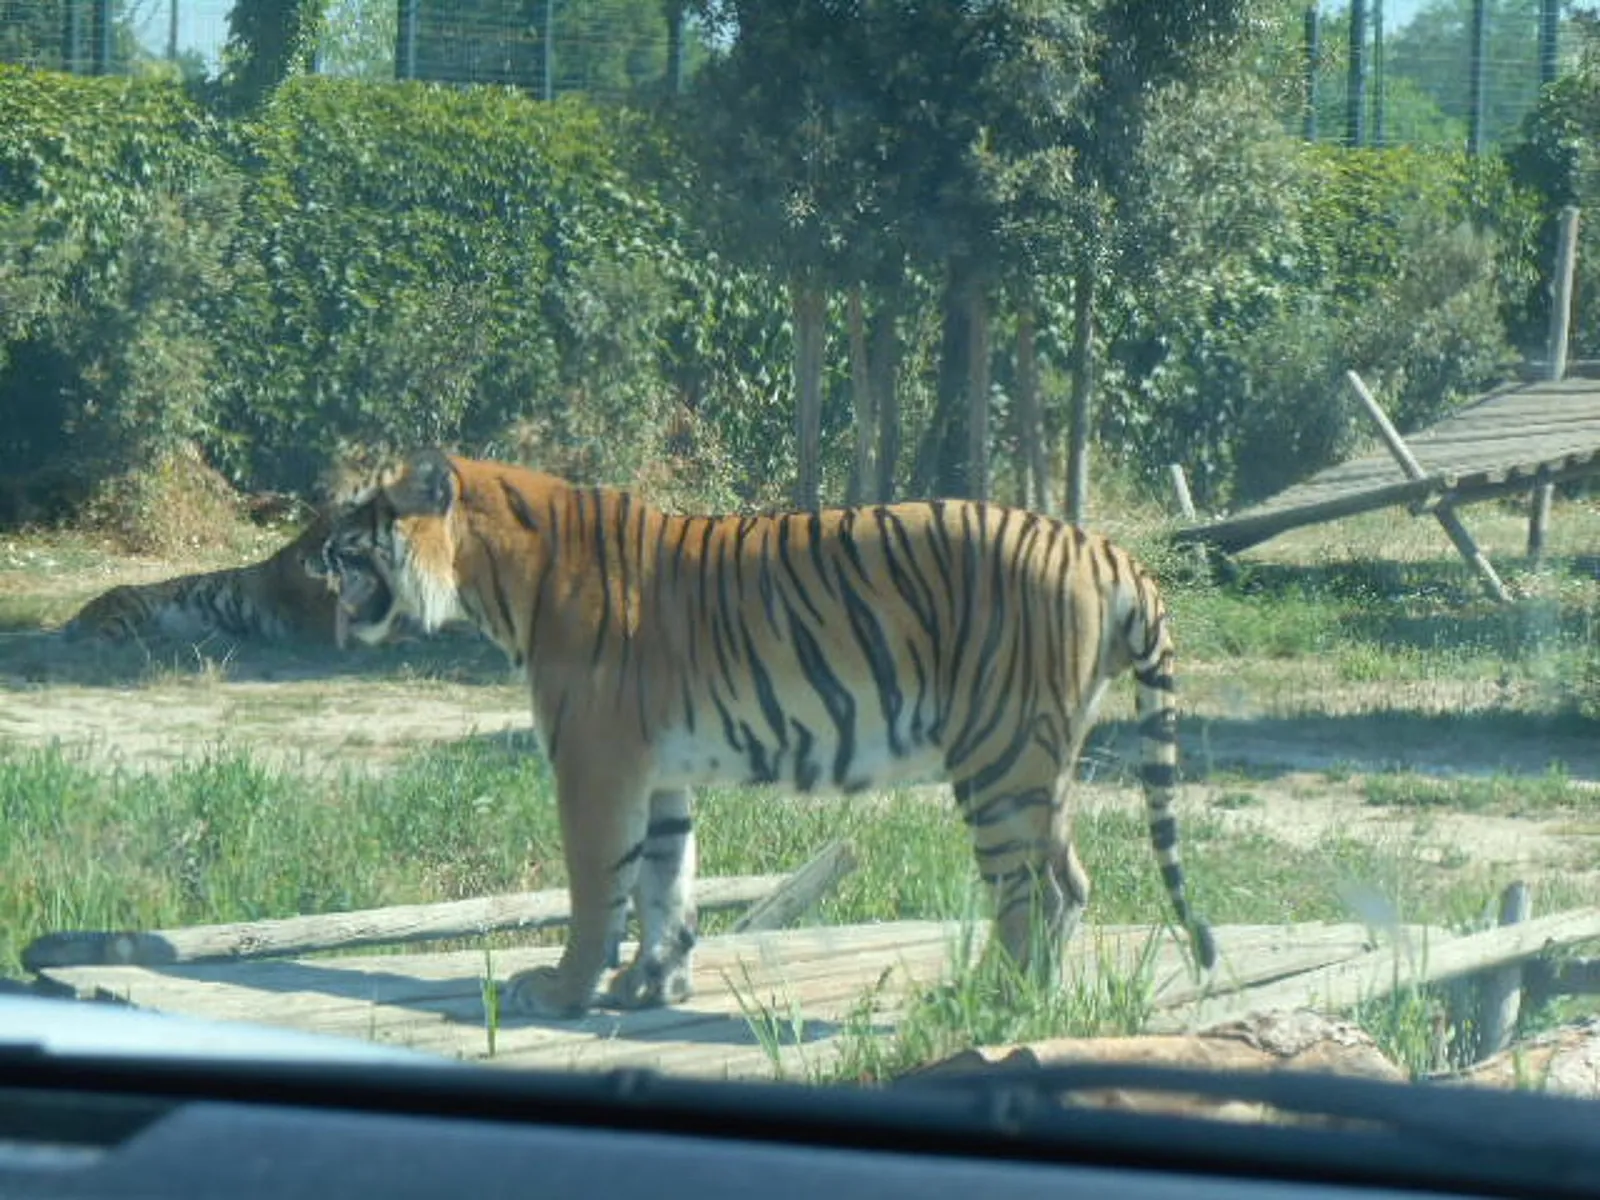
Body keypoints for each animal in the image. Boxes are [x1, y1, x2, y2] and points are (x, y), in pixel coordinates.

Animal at [62, 512, 342, 647]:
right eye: (315, 536)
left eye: (322, 537)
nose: (303, 559)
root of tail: (82, 612)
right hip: (131, 609)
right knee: (95, 642)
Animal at [311, 448, 1216, 1019]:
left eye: (362, 512)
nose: (313, 551)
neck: (492, 578)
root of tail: (1107, 550)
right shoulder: (658, 772)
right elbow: (666, 883)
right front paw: (652, 987)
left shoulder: (593, 764)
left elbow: (597, 890)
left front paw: (565, 992)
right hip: (1043, 764)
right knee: (1073, 881)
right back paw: (1035, 1000)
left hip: (1000, 758)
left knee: (1036, 891)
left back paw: (992, 1001)